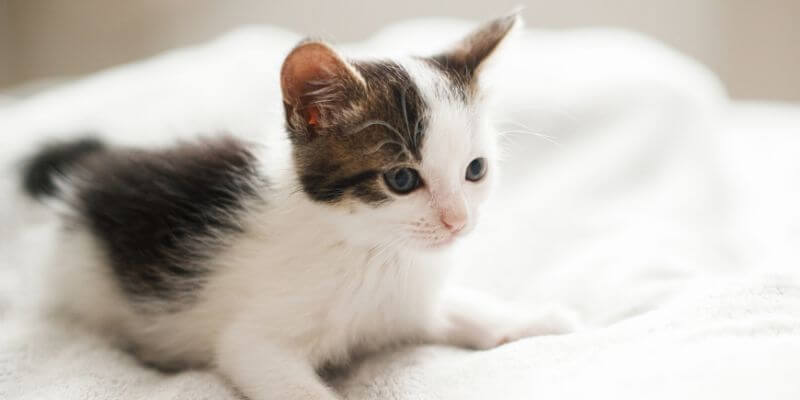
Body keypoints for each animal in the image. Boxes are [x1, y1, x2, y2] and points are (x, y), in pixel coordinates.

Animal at [21, 15, 576, 400]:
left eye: (475, 170)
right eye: (401, 179)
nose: (458, 221)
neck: (370, 250)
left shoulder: (404, 302)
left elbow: (457, 307)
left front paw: (535, 321)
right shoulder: (254, 343)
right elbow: (278, 374)